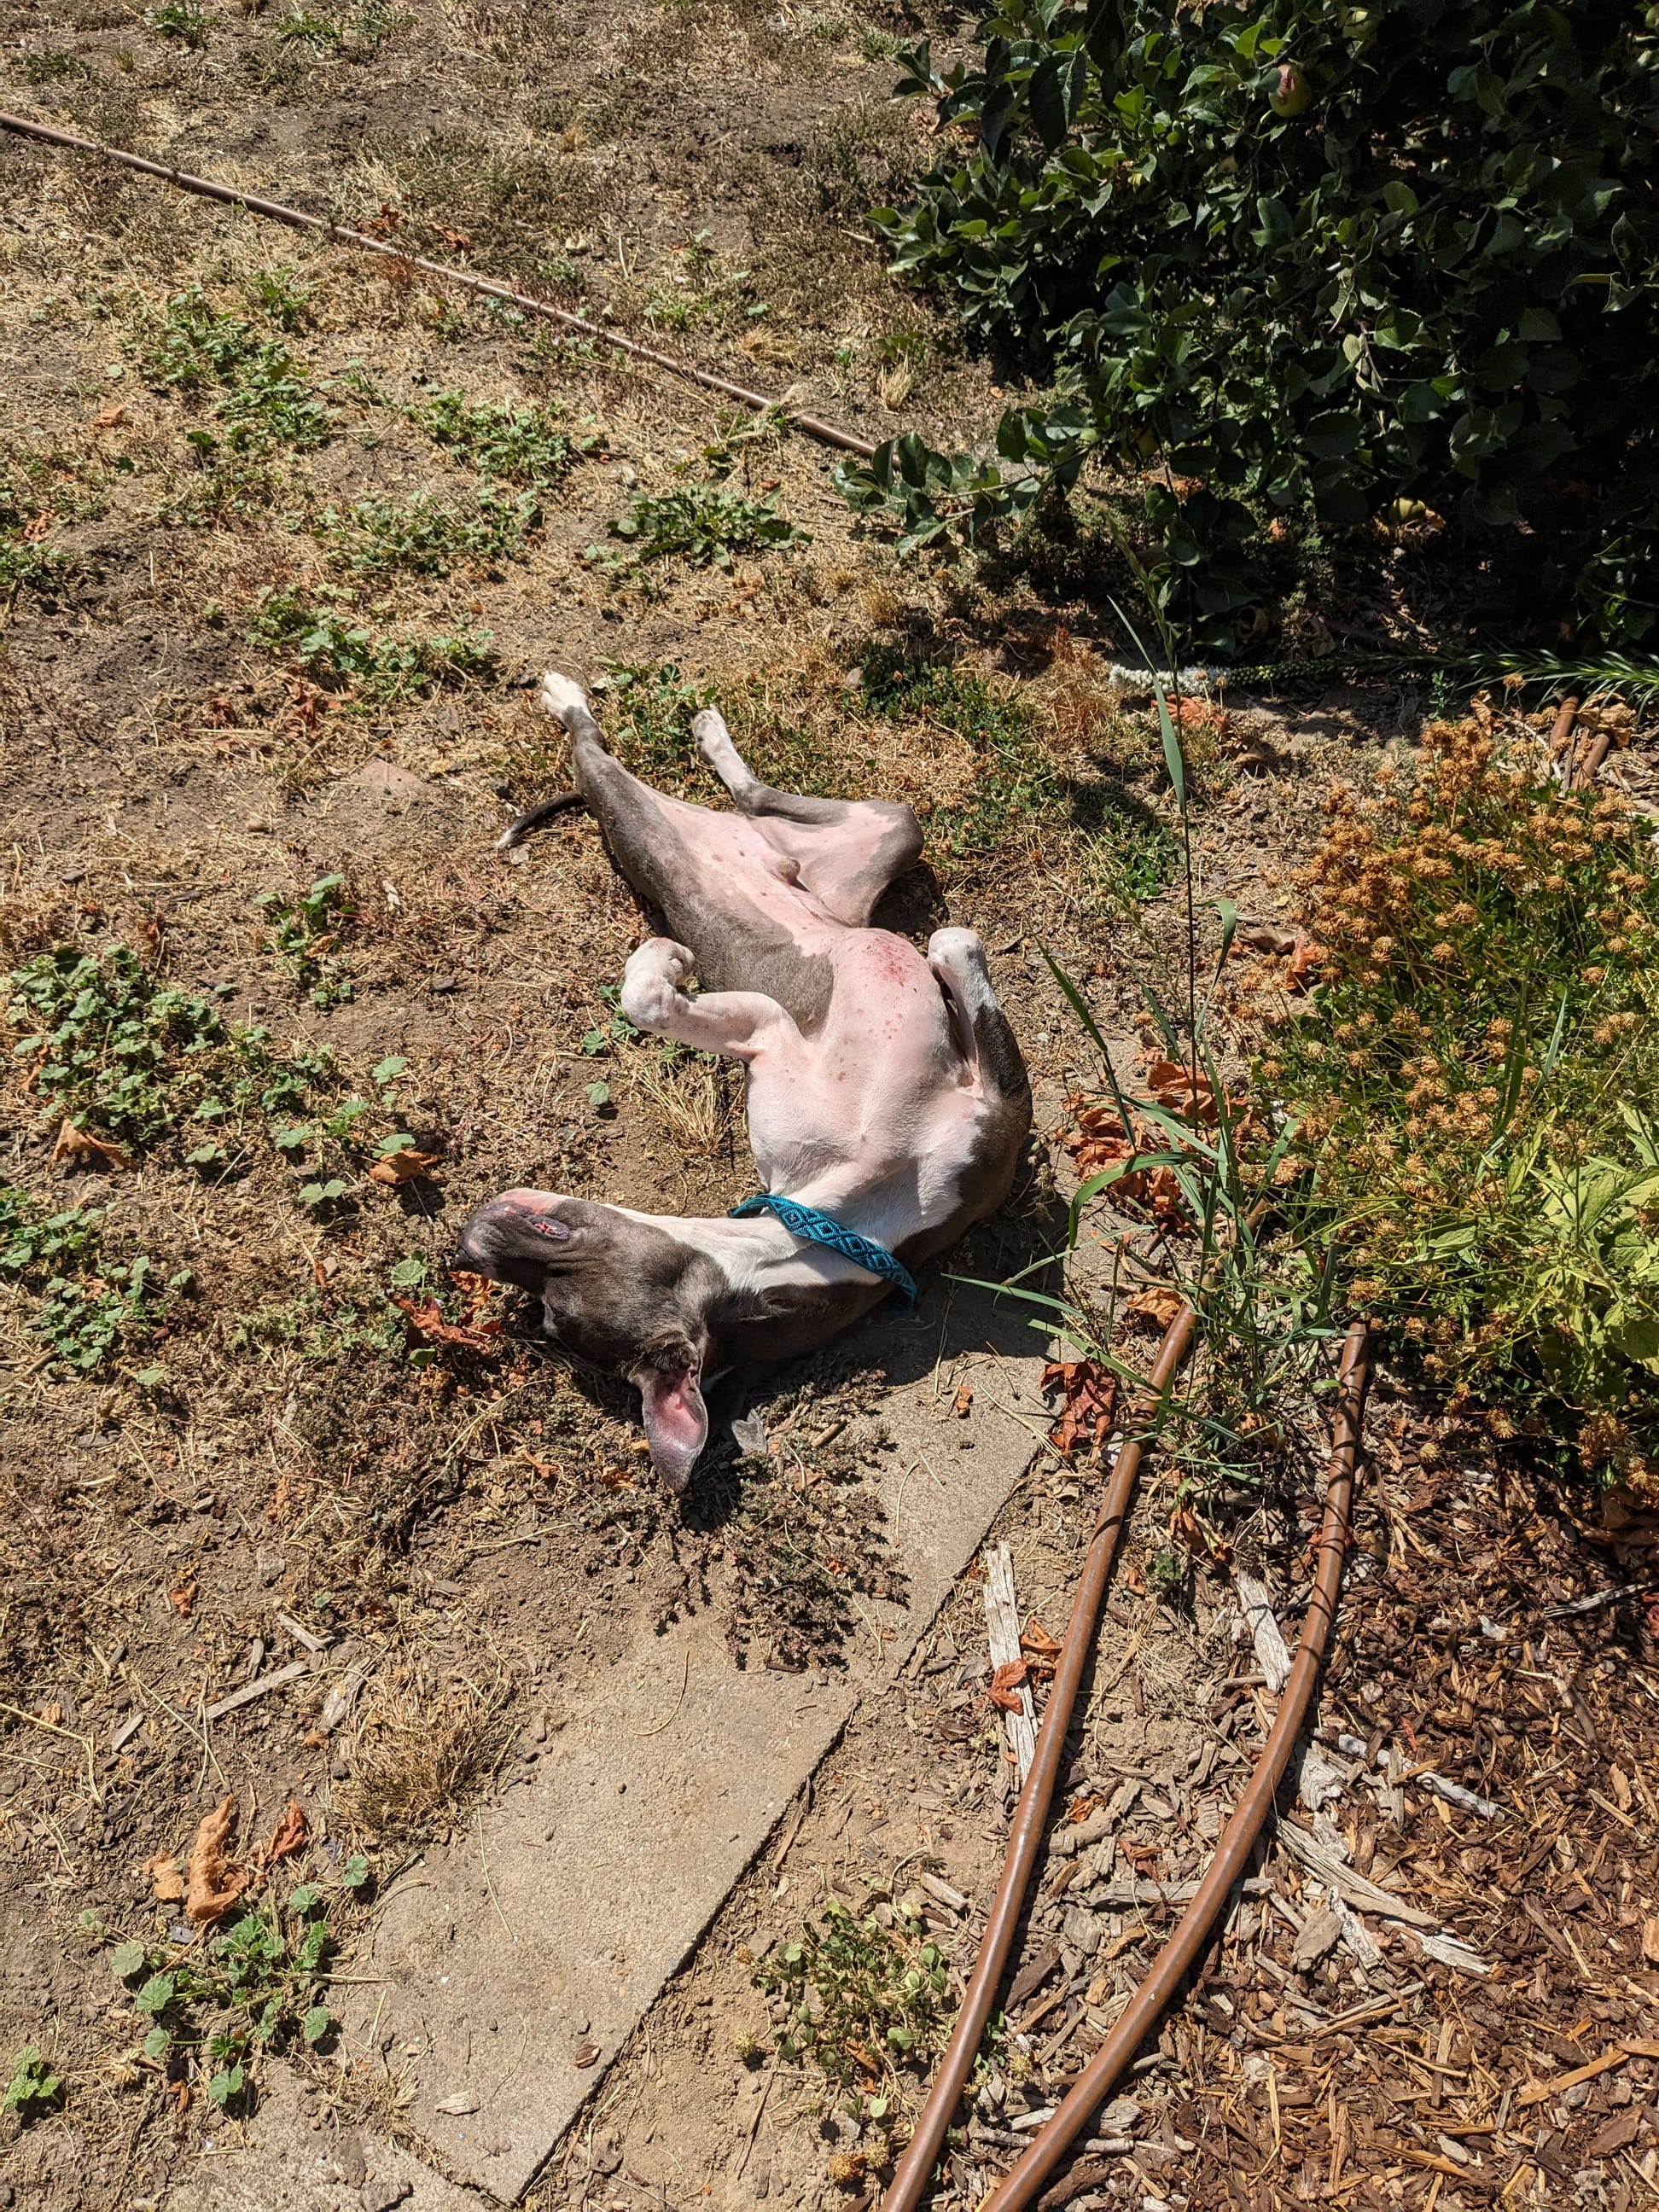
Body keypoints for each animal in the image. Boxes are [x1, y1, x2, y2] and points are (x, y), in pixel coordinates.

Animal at [455, 672, 1031, 1491]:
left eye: (552, 1298)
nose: (469, 1239)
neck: (855, 1207)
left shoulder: (988, 1119)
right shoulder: (774, 1038)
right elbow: (653, 999)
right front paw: (664, 959)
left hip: (889, 830)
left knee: (759, 794)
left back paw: (704, 733)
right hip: (637, 818)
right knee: (599, 749)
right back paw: (575, 701)